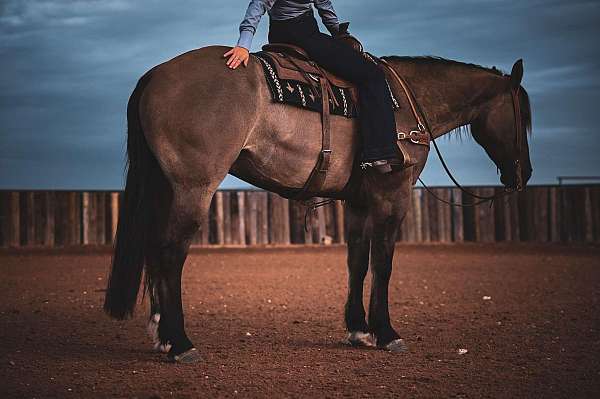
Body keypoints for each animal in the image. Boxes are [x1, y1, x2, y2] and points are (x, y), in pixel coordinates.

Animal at [103, 45, 536, 364]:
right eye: (523, 118)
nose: (524, 174)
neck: (406, 101)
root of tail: (155, 74)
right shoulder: (392, 195)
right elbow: (383, 262)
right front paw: (386, 332)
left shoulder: (358, 202)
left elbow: (357, 260)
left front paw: (358, 328)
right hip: (194, 188)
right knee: (170, 253)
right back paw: (180, 343)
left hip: (167, 188)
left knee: (155, 252)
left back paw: (161, 334)